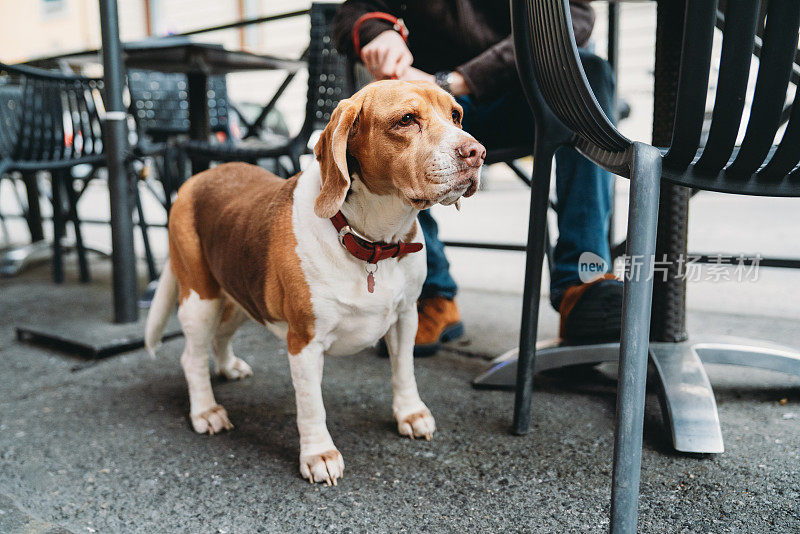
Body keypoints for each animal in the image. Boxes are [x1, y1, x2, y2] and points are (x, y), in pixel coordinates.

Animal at [146, 79, 484, 486]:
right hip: (201, 300)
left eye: (456, 115)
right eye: (406, 119)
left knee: (221, 335)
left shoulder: (406, 319)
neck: (372, 241)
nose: (476, 153)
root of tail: (195, 180)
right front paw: (319, 454)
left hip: (242, 293)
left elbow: (404, 372)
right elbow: (311, 406)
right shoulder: (304, 342)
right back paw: (205, 410)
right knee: (191, 357)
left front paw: (410, 413)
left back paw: (228, 367)